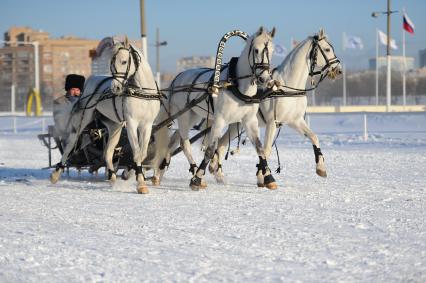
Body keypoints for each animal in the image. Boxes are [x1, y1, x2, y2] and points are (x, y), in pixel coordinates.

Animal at [50, 37, 161, 195]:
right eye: (111, 63)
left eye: (124, 61)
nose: (115, 88)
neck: (143, 93)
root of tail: (91, 80)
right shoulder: (132, 123)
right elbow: (136, 152)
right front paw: (140, 183)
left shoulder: (147, 125)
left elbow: (142, 153)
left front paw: (131, 175)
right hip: (82, 121)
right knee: (70, 145)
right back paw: (55, 174)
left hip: (115, 126)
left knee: (107, 152)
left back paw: (112, 178)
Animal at [155, 27, 278, 191]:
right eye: (256, 50)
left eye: (272, 50)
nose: (264, 79)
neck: (236, 85)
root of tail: (178, 77)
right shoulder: (220, 120)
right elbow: (210, 149)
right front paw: (197, 179)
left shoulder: (249, 121)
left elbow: (259, 148)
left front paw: (269, 177)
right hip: (184, 115)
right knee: (184, 143)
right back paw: (192, 171)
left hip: (194, 115)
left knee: (174, 140)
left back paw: (160, 173)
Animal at [210, 28, 342, 184]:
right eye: (327, 49)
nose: (339, 70)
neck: (288, 87)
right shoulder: (272, 123)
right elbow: (266, 150)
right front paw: (262, 176)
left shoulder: (295, 121)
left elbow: (314, 137)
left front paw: (321, 168)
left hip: (237, 124)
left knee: (221, 144)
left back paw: (216, 171)